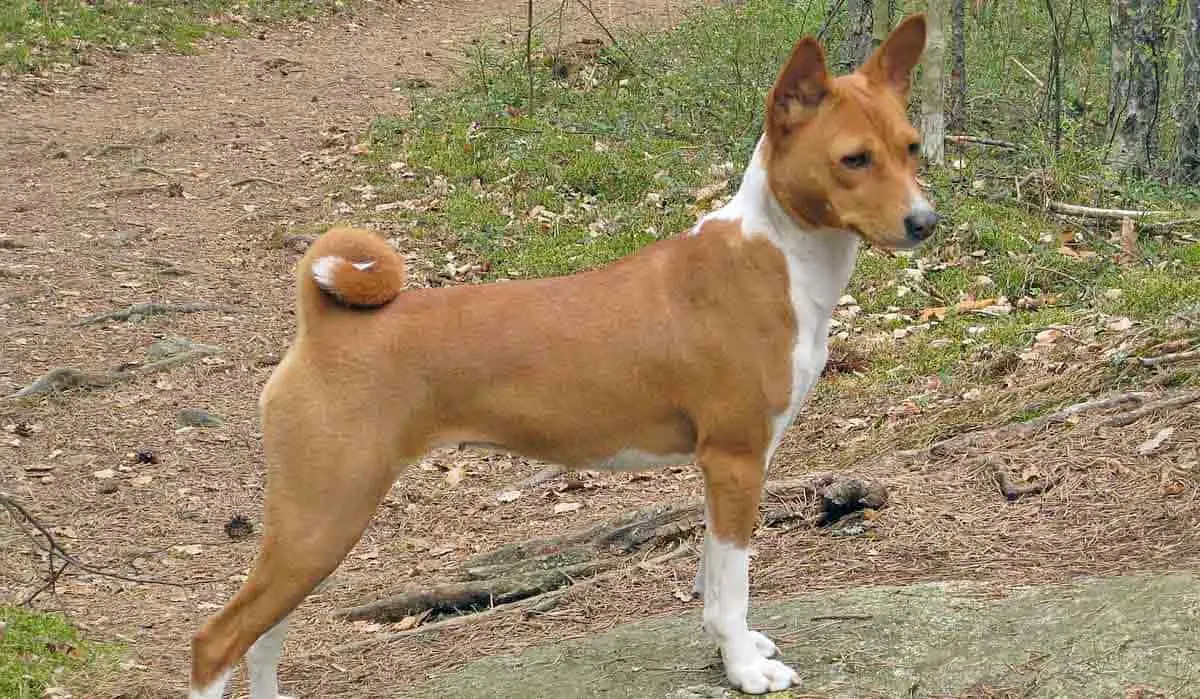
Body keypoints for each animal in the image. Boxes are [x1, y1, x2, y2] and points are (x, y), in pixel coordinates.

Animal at [189, 13, 936, 696]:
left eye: (911, 147)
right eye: (854, 158)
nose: (925, 222)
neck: (772, 258)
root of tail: (324, 326)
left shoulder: (723, 468)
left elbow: (712, 582)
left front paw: (739, 648)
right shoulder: (735, 460)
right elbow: (733, 586)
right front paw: (745, 670)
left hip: (314, 529)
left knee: (262, 640)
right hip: (323, 517)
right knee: (217, 642)